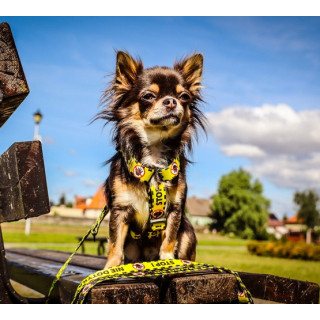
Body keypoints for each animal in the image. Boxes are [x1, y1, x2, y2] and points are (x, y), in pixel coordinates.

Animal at [97, 51, 206, 268]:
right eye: (148, 96)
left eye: (184, 96)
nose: (171, 101)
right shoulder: (120, 210)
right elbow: (114, 243)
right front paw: (110, 268)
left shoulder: (174, 210)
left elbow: (169, 238)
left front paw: (167, 261)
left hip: (188, 232)